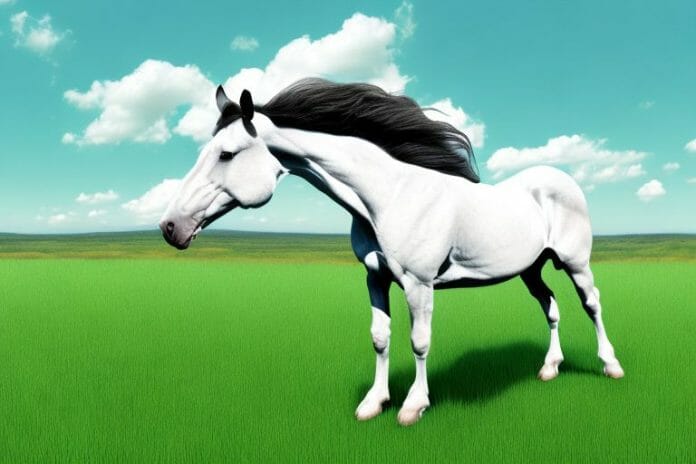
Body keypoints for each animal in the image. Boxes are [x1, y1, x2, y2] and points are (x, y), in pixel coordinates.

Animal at [159, 78, 624, 426]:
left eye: (226, 154)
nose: (169, 227)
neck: (389, 197)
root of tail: (560, 178)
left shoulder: (419, 285)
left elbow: (419, 341)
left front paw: (413, 407)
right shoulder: (375, 278)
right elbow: (380, 338)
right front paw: (373, 403)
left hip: (575, 263)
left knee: (592, 304)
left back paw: (610, 366)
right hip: (531, 267)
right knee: (551, 306)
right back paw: (549, 368)